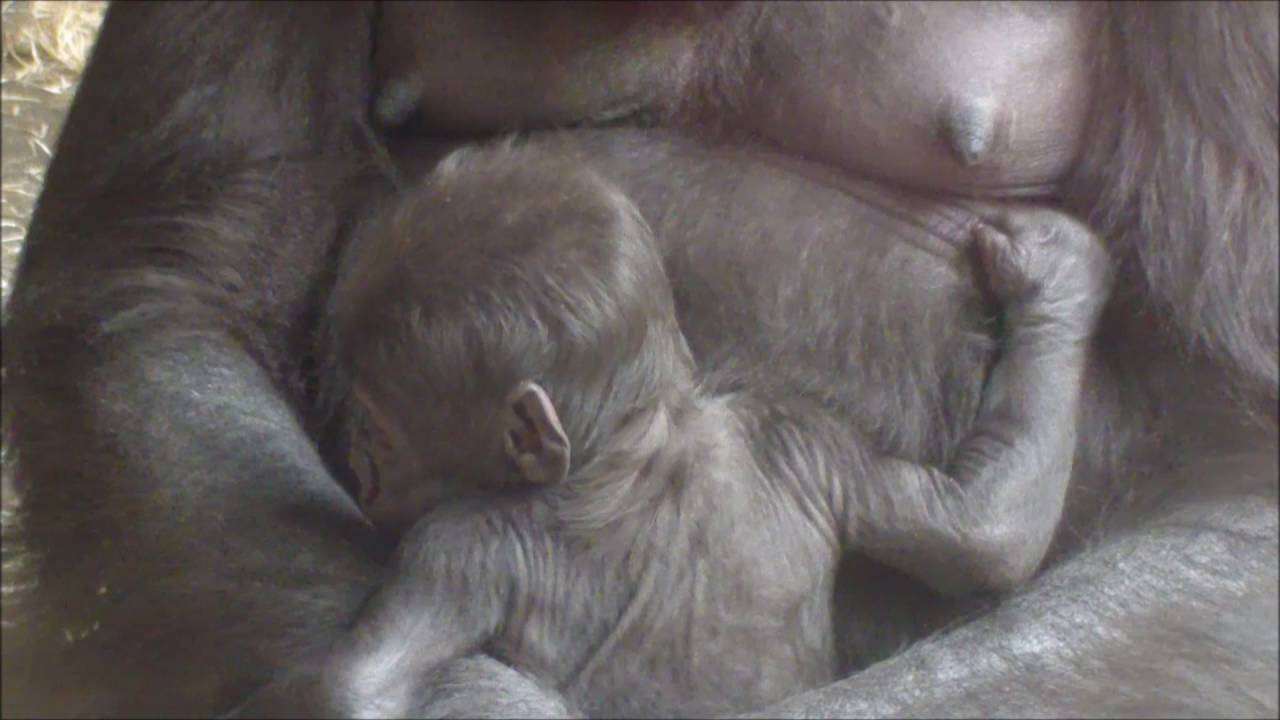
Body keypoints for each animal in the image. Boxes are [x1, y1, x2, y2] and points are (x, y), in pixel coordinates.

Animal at [238, 140, 1113, 717]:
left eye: (383, 432)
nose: (363, 464)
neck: (631, 449)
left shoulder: (458, 547)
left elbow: (353, 688)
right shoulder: (802, 437)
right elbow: (981, 533)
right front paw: (1058, 281)